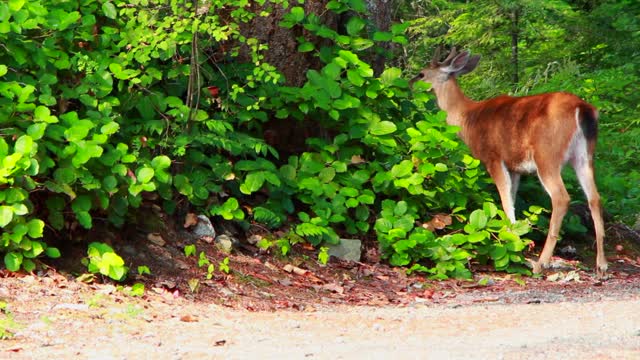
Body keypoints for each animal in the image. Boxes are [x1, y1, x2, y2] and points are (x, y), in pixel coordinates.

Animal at [412, 47, 608, 278]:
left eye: (422, 74)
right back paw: (602, 265)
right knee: (595, 198)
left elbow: (505, 203)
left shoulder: (494, 157)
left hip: (547, 155)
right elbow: (511, 200)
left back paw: (541, 264)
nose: (409, 84)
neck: (467, 118)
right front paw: (515, 241)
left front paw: (511, 245)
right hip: (584, 156)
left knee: (561, 198)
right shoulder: (515, 168)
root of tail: (582, 108)